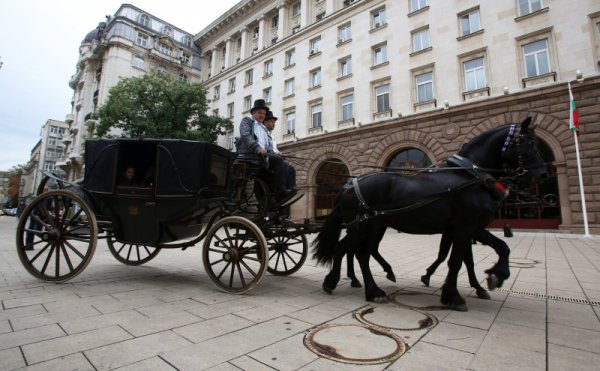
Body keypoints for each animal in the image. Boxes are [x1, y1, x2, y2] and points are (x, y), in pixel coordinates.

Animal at [312, 118, 548, 310]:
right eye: (530, 143)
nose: (543, 174)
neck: (469, 176)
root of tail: (349, 185)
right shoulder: (464, 228)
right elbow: (456, 261)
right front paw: (454, 296)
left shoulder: (470, 228)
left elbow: (495, 249)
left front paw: (493, 277)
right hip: (363, 226)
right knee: (348, 250)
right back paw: (344, 283)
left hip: (374, 226)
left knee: (360, 253)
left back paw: (366, 286)